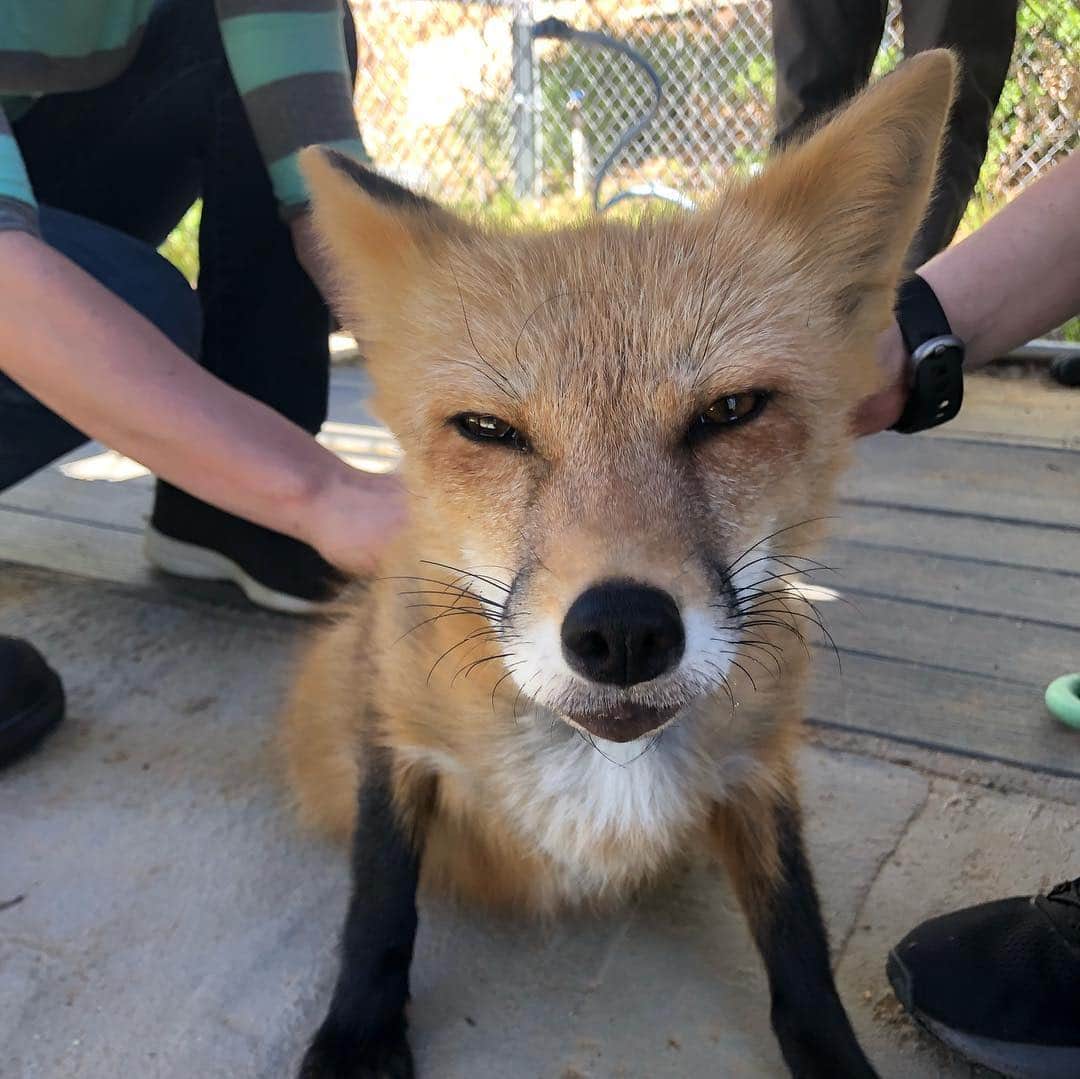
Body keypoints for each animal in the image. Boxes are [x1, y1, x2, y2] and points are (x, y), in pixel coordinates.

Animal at [281, 50, 957, 1079]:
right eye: (489, 430)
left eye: (730, 412)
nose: (624, 631)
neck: (605, 767)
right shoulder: (391, 725)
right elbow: (378, 905)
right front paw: (357, 1035)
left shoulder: (760, 767)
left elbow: (798, 942)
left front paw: (834, 1058)